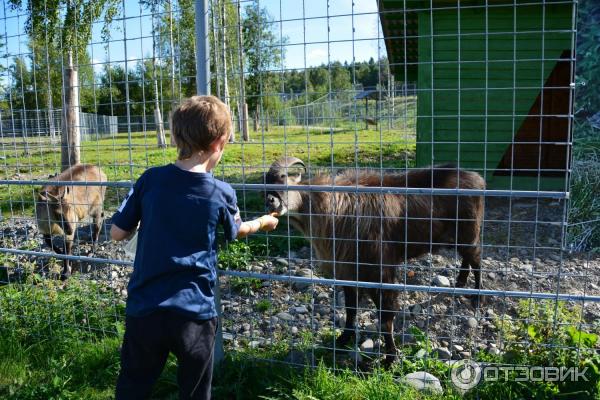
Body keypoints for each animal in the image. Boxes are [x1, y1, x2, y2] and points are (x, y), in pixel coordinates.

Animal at [264, 157, 486, 366]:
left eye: (283, 178)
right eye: (266, 183)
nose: (270, 201)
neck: (336, 210)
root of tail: (479, 180)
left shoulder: (380, 273)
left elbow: (386, 317)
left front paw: (390, 358)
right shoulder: (349, 272)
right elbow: (351, 309)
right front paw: (344, 339)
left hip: (468, 233)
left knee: (476, 259)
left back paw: (477, 296)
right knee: (467, 258)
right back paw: (460, 283)